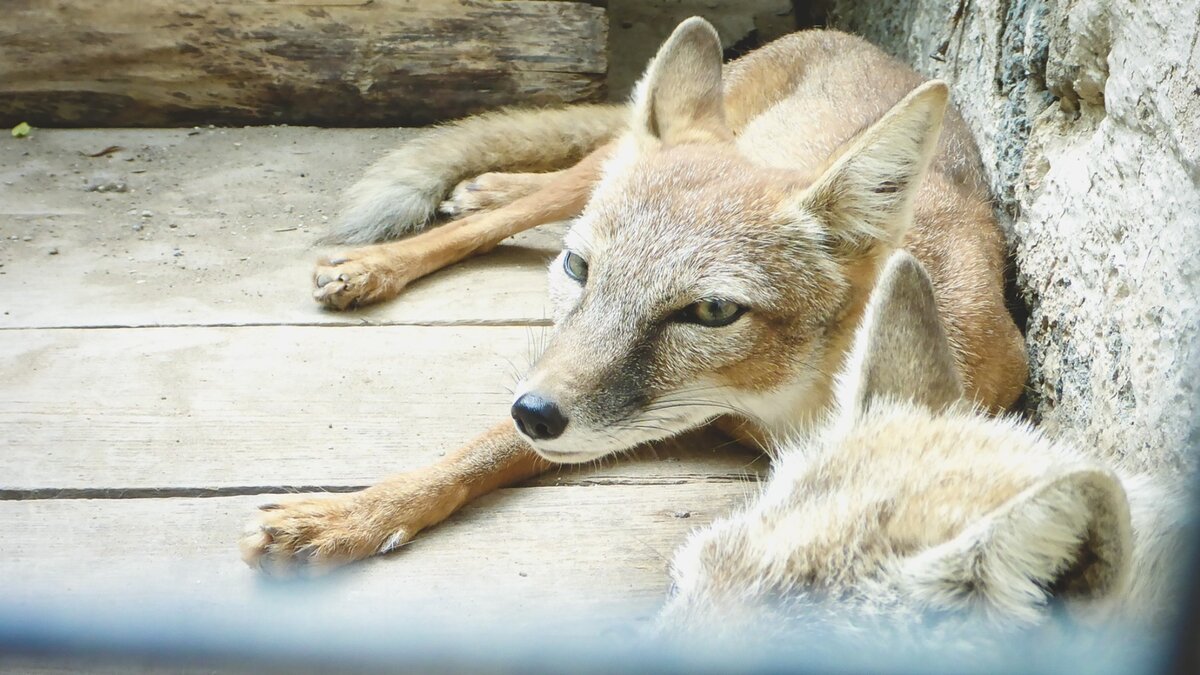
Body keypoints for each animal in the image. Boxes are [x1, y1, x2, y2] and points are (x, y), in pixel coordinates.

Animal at [238, 17, 1027, 571]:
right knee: (517, 207)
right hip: (598, 170)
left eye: (712, 311)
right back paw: (390, 255)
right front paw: (352, 515)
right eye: (579, 269)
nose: (533, 412)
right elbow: (470, 455)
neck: (786, 410)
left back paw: (485, 188)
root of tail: (845, 37)